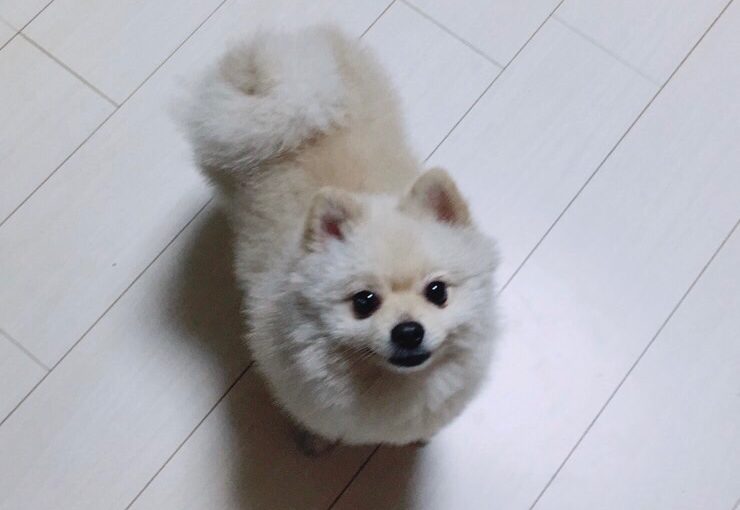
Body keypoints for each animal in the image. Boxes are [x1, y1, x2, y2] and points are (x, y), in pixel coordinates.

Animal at [182, 26, 498, 453]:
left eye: (438, 292)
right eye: (364, 302)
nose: (408, 331)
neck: (388, 383)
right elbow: (318, 426)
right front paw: (316, 444)